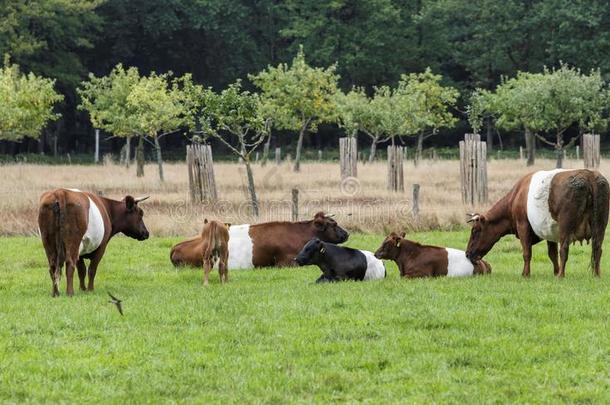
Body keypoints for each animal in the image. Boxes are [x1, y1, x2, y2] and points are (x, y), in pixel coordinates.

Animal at [464, 169, 604, 276]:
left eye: (475, 231)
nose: (467, 253)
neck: (515, 197)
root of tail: (588, 174)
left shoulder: (523, 225)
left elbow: (527, 252)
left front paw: (525, 274)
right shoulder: (549, 231)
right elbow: (552, 254)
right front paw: (555, 272)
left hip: (566, 225)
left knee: (564, 249)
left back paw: (561, 275)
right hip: (600, 225)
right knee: (597, 248)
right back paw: (596, 275)